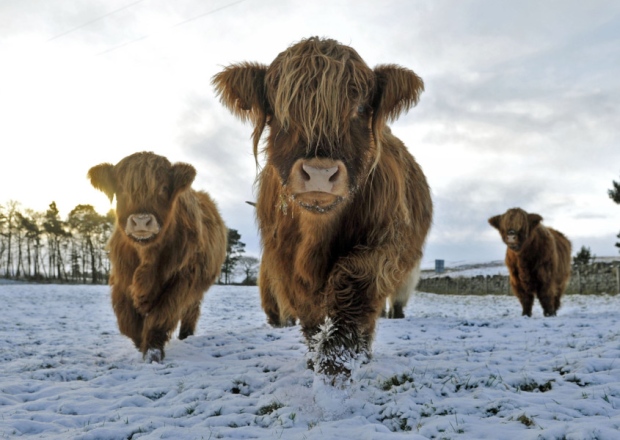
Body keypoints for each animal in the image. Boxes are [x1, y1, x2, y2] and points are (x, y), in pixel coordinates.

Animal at [89, 151, 228, 360]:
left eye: (163, 188)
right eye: (121, 188)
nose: (141, 221)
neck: (146, 256)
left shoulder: (182, 279)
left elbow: (161, 316)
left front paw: (153, 351)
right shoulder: (121, 279)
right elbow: (127, 322)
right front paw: (140, 343)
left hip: (197, 287)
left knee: (191, 310)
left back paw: (186, 335)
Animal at [213, 36, 432, 378]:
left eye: (360, 108)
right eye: (280, 110)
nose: (319, 173)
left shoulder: (383, 244)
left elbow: (355, 287)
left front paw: (339, 359)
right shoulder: (284, 259)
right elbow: (310, 312)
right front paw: (317, 354)